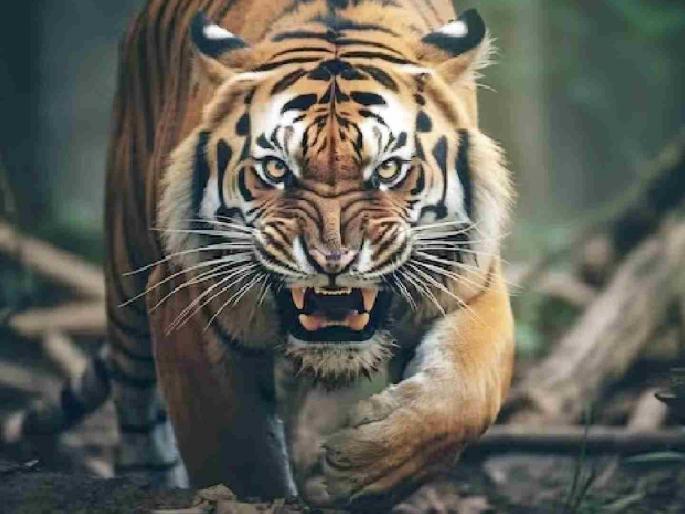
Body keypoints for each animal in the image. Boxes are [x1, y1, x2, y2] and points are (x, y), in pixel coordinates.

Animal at [3, 0, 514, 509]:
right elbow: (239, 452)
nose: (333, 260)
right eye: (275, 169)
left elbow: (463, 397)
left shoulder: (472, 281)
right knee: (137, 414)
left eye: (388, 170)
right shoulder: (188, 303)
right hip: (126, 267)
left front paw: (360, 470)